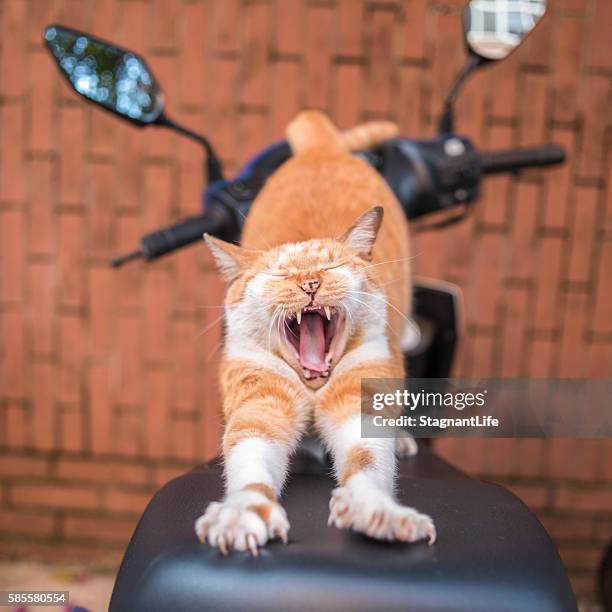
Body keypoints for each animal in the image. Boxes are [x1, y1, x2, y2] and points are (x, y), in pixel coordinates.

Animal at [196, 110, 436, 556]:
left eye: (331, 267)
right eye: (279, 275)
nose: (310, 283)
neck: (311, 386)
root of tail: (319, 145)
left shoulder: (360, 399)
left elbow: (368, 461)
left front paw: (378, 511)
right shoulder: (258, 404)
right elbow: (249, 460)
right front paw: (241, 513)